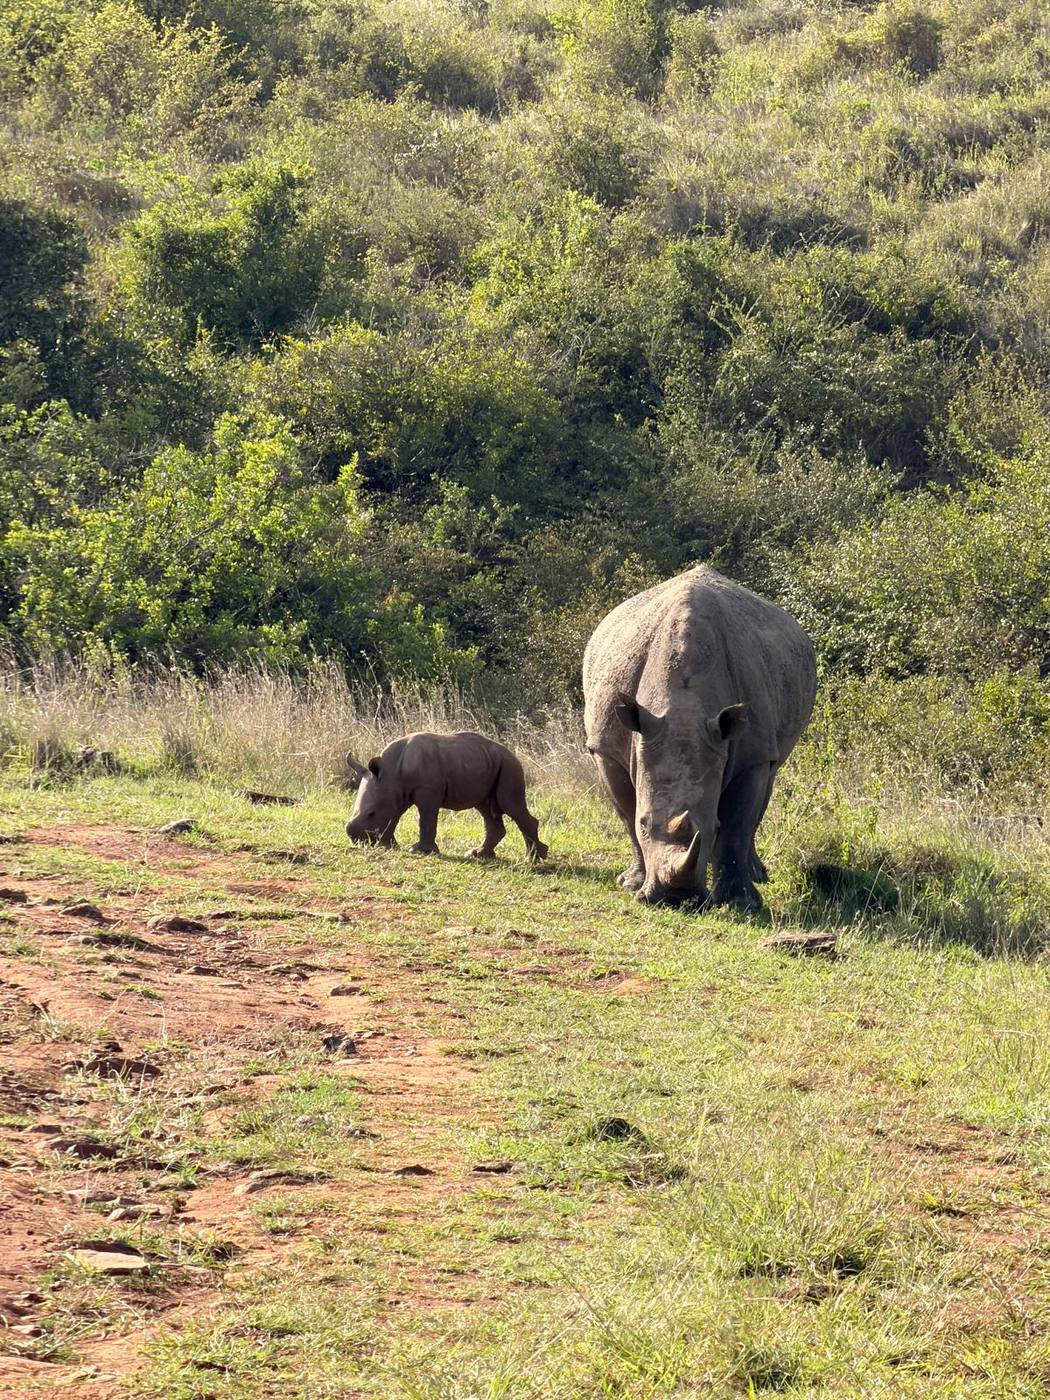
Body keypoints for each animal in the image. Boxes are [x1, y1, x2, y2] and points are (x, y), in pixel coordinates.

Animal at [345, 731, 548, 860]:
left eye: (371, 813)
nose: (355, 838)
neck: (391, 771)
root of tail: (514, 755)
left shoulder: (427, 790)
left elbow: (426, 820)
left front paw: (420, 851)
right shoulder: (397, 792)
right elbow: (394, 817)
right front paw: (386, 845)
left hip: (509, 767)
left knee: (510, 804)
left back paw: (534, 858)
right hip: (487, 764)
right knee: (486, 808)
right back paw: (478, 854)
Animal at [583, 565, 816, 910]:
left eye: (711, 828)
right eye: (644, 824)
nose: (675, 899)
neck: (684, 707)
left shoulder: (753, 754)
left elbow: (736, 824)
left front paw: (741, 903)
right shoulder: (606, 748)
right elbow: (626, 812)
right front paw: (631, 884)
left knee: (770, 779)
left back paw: (758, 875)